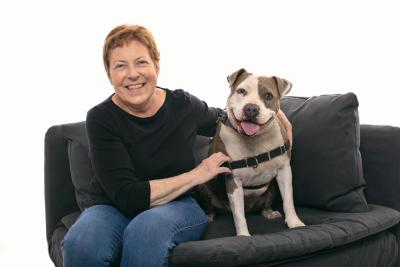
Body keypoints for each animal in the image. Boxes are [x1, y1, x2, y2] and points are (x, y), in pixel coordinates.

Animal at [198, 68, 306, 237]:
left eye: (268, 96)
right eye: (241, 91)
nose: (251, 109)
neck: (254, 140)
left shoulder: (284, 171)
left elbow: (288, 200)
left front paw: (294, 223)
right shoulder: (233, 179)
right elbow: (238, 215)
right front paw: (243, 236)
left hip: (273, 187)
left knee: (265, 204)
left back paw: (269, 212)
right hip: (202, 187)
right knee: (213, 207)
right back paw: (209, 216)